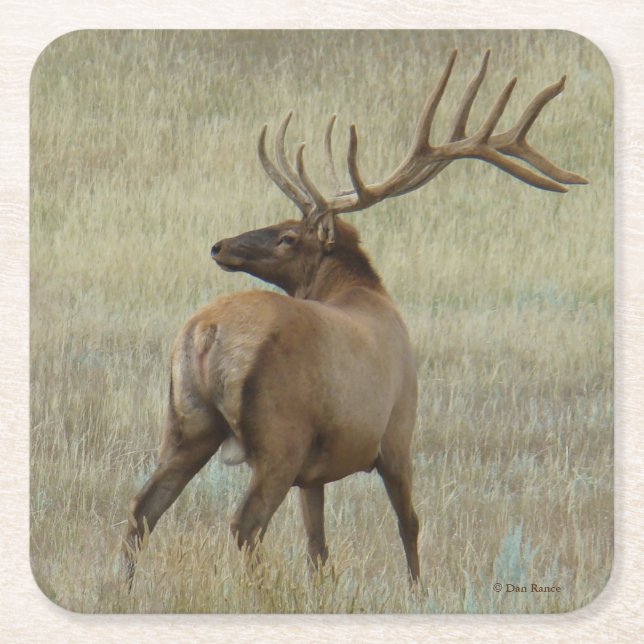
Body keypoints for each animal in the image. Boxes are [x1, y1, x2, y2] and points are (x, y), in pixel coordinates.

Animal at [122, 50, 587, 588]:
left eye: (287, 235)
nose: (219, 246)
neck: (365, 292)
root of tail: (206, 332)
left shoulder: (314, 471)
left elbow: (318, 547)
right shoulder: (398, 429)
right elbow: (409, 522)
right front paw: (417, 589)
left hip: (188, 422)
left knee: (143, 508)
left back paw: (124, 587)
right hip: (279, 435)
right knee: (245, 523)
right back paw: (260, 592)